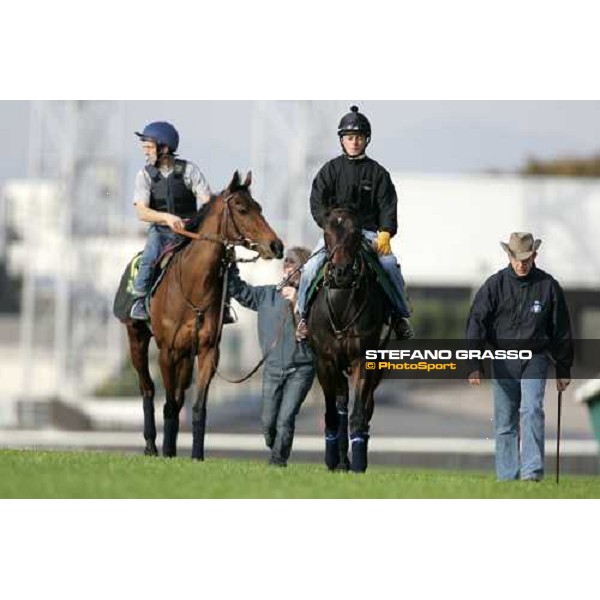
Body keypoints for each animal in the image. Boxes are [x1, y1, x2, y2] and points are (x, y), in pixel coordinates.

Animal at [125, 171, 284, 462]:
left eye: (259, 207)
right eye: (242, 209)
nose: (276, 245)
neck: (193, 286)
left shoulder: (208, 350)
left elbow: (197, 406)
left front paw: (196, 455)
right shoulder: (167, 351)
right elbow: (168, 404)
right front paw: (167, 451)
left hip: (185, 356)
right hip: (137, 340)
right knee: (148, 388)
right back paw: (152, 445)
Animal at [304, 210, 390, 474]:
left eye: (355, 232)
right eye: (327, 231)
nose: (341, 272)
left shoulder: (363, 359)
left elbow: (359, 413)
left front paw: (359, 462)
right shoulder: (325, 362)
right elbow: (332, 413)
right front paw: (333, 459)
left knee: (366, 406)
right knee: (341, 403)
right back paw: (341, 459)